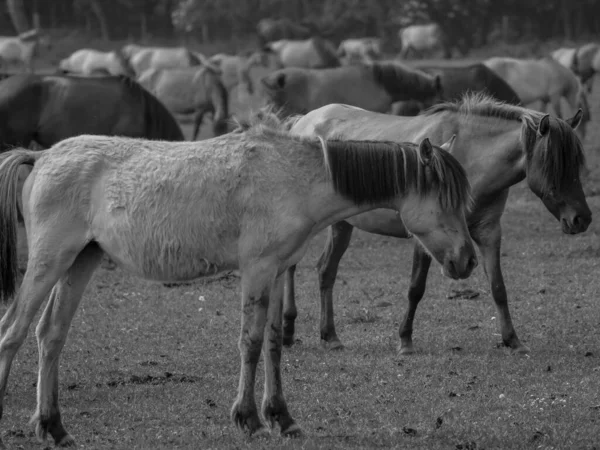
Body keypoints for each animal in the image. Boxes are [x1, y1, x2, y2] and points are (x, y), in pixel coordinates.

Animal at [0, 116, 476, 446]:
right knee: (14, 330)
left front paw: (282, 417)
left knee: (49, 335)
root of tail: (41, 157)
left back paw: (54, 427)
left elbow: (273, 344)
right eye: (444, 200)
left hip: (80, 262)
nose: (468, 259)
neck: (294, 177)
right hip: (49, 263)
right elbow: (250, 343)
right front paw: (249, 419)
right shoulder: (257, 271)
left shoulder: (279, 272)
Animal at [282, 95, 592, 356]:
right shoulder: (426, 236)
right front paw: (405, 341)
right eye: (555, 165)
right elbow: (416, 288)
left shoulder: (488, 232)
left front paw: (513, 340)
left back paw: (330, 336)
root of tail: (302, 121)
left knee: (326, 271)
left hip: (342, 225)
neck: (470, 158)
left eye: (577, 164)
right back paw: (287, 330)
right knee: (291, 267)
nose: (582, 219)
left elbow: (498, 287)